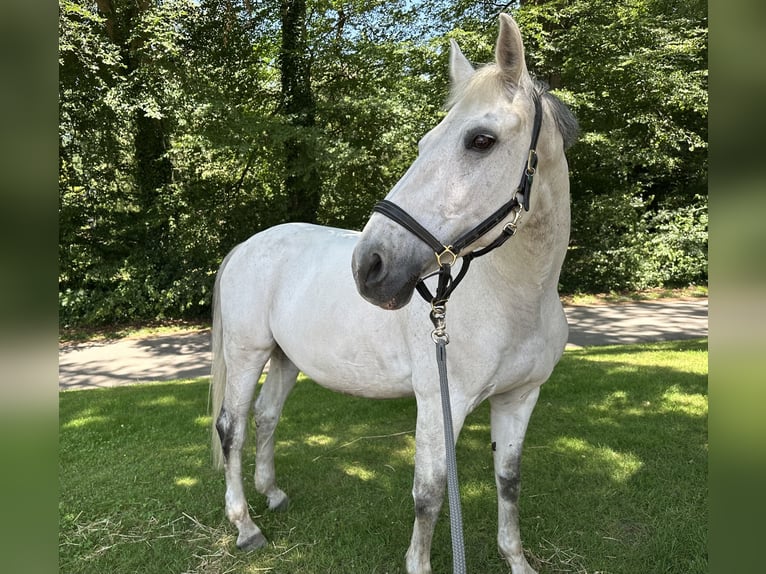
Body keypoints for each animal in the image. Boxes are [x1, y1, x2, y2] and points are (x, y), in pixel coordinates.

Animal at [210, 13, 578, 574]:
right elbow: (429, 495)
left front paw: (516, 560)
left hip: (285, 357)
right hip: (247, 353)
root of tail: (245, 248)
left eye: (481, 140)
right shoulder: (440, 403)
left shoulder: (520, 398)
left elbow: (509, 483)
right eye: (425, 144)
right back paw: (245, 525)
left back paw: (271, 495)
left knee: (266, 417)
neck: (514, 300)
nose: (369, 265)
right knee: (231, 428)